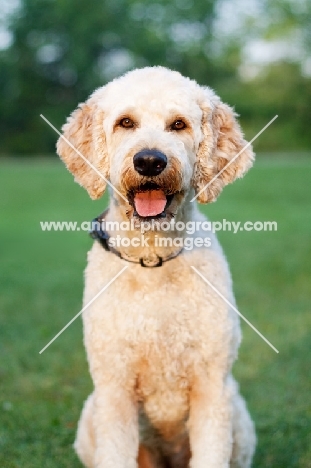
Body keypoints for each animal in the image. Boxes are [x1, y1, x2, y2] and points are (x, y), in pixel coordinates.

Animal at [57, 66, 258, 468]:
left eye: (178, 124)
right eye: (125, 122)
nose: (149, 161)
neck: (153, 261)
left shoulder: (212, 384)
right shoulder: (114, 385)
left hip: (239, 418)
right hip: (91, 417)